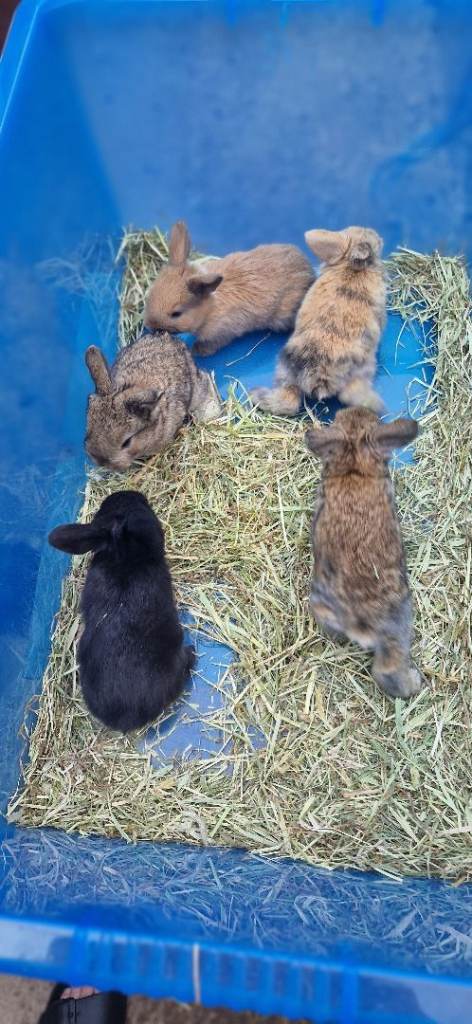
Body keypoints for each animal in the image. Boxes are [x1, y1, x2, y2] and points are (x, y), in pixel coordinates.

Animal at [143, 220, 315, 356]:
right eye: (149, 295)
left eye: (176, 314)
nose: (149, 325)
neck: (209, 309)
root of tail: (309, 269)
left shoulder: (221, 333)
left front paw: (197, 350)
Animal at [250, 226, 386, 416]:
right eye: (372, 241)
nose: (380, 237)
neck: (350, 267)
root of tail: (318, 376)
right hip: (363, 368)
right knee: (350, 395)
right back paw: (378, 405)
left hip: (286, 369)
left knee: (288, 400)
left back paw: (256, 394)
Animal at [305, 408, 423, 699]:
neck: (355, 469)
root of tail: (356, 620)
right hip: (398, 624)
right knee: (388, 670)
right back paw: (414, 682)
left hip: (321, 598)